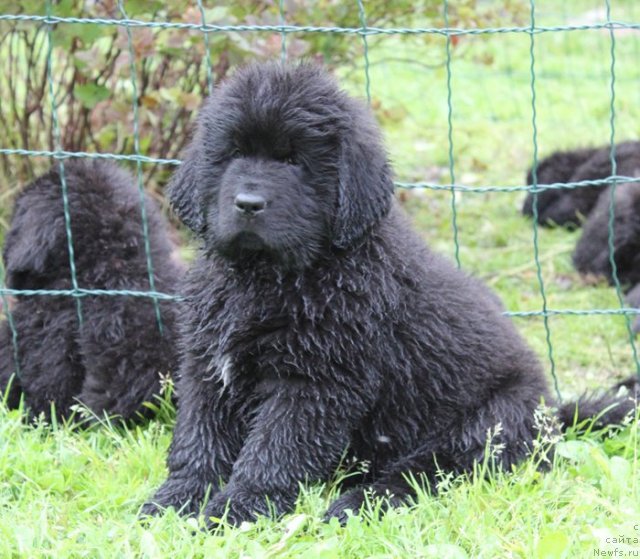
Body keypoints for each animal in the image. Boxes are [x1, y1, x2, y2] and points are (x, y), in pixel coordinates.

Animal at [141, 63, 640, 528]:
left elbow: (272, 451)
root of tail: (553, 413)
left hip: (487, 422)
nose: (247, 203)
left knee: (424, 473)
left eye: (296, 162)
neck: (268, 278)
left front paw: (236, 510)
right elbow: (199, 439)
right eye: (233, 154)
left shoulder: (313, 383)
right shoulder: (207, 365)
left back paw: (354, 505)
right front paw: (176, 500)